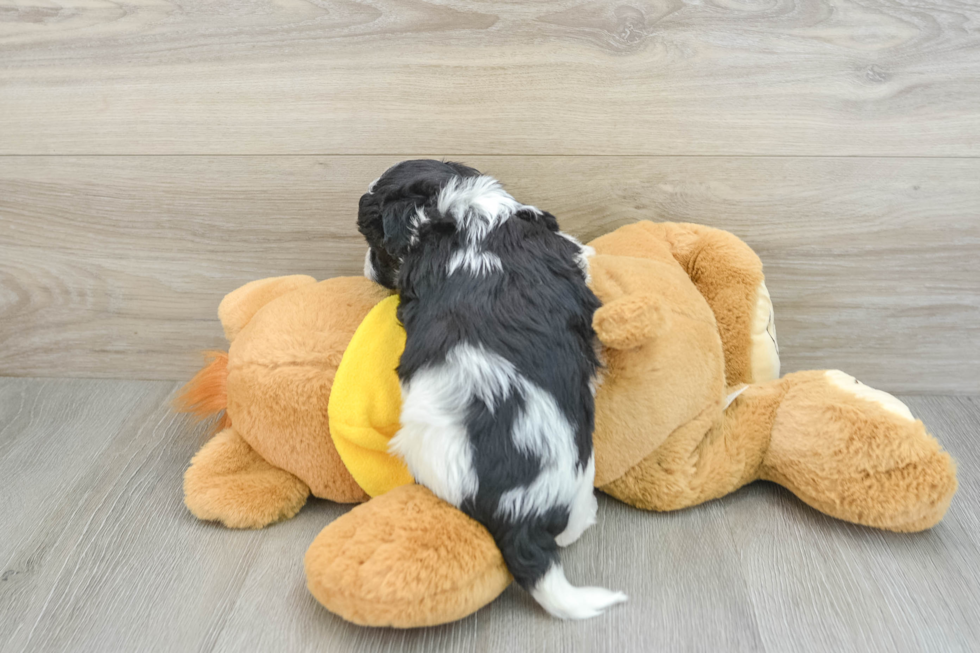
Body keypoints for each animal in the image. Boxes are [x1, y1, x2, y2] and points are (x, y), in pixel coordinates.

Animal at [360, 160, 628, 620]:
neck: (460, 210)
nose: (366, 264)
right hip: (577, 482)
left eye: (377, 244)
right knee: (570, 528)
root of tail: (518, 513)